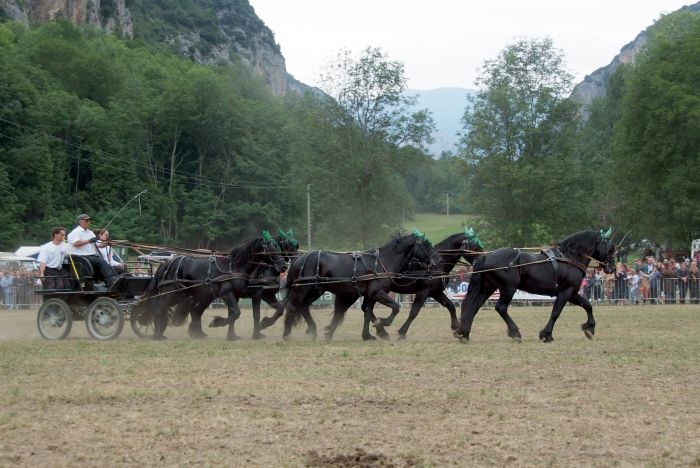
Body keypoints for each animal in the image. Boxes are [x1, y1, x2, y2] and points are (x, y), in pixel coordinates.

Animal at [138, 233, 286, 340]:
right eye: (272, 249)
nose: (284, 266)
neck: (234, 267)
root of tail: (168, 262)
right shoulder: (227, 293)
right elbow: (237, 313)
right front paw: (216, 323)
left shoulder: (237, 295)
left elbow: (235, 314)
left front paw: (232, 335)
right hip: (173, 293)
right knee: (159, 307)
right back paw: (157, 334)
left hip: (192, 295)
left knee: (193, 311)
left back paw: (194, 333)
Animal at [282, 233, 440, 340]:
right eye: (426, 245)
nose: (437, 259)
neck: (383, 261)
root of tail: (298, 259)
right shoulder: (377, 293)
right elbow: (395, 307)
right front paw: (383, 323)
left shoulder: (370, 295)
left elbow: (367, 312)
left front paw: (369, 334)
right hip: (304, 289)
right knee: (292, 307)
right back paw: (287, 334)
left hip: (315, 290)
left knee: (303, 307)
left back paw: (313, 331)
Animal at [454, 229, 612, 342]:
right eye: (611, 248)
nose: (611, 268)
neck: (569, 257)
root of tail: (487, 255)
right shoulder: (565, 292)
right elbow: (556, 313)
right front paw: (546, 334)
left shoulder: (571, 293)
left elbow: (588, 305)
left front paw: (589, 328)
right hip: (508, 289)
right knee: (501, 308)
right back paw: (515, 332)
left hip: (488, 288)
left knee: (473, 307)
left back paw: (465, 333)